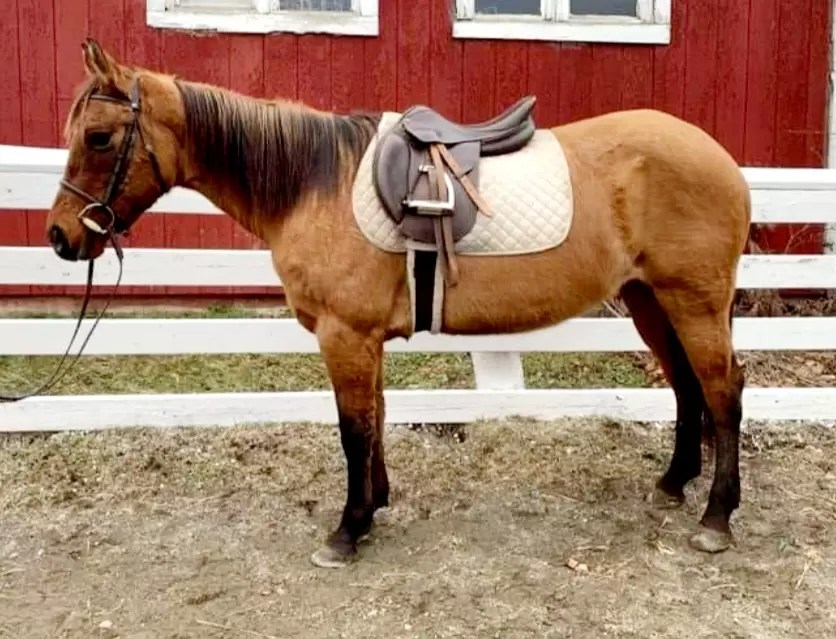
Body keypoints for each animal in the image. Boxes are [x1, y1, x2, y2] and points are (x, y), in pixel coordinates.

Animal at [46, 39, 750, 569]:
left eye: (100, 137)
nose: (60, 236)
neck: (313, 183)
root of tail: (723, 160)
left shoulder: (344, 334)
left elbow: (353, 429)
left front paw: (347, 529)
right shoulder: (364, 340)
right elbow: (377, 419)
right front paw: (375, 506)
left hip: (693, 302)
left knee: (722, 393)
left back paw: (716, 518)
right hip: (649, 301)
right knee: (687, 388)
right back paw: (672, 485)